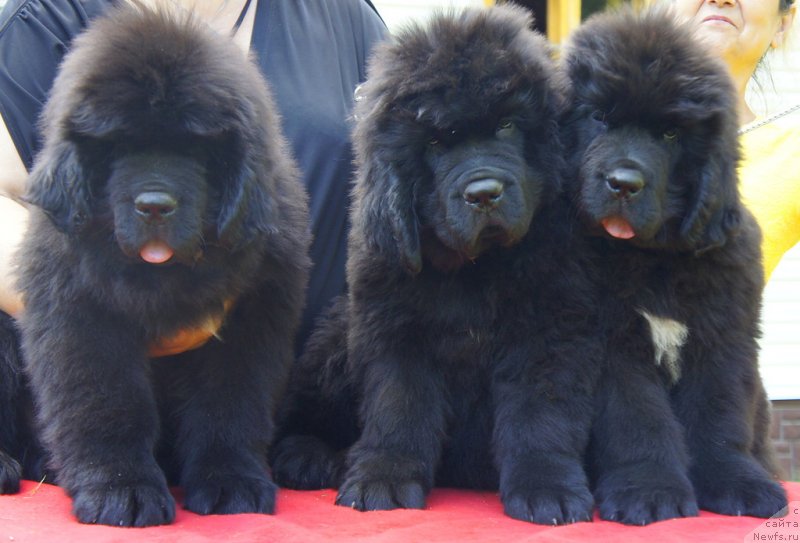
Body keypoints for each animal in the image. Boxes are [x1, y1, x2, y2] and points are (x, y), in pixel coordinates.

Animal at [14, 3, 312, 528]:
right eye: (117, 145)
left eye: (195, 148)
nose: (154, 205)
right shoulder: (81, 316)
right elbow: (108, 403)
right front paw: (121, 489)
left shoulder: (252, 317)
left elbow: (231, 403)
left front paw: (231, 480)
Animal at [272, 6, 604, 528]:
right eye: (434, 142)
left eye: (508, 125)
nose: (484, 193)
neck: (475, 266)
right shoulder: (395, 331)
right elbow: (399, 408)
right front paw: (384, 478)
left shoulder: (549, 331)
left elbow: (540, 416)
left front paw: (547, 487)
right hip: (336, 336)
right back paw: (308, 454)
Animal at [560, 7, 784, 528]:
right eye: (600, 117)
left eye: (669, 133)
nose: (623, 183)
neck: (652, 259)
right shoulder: (615, 344)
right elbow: (639, 421)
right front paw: (650, 491)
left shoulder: (722, 338)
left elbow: (719, 417)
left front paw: (737, 484)